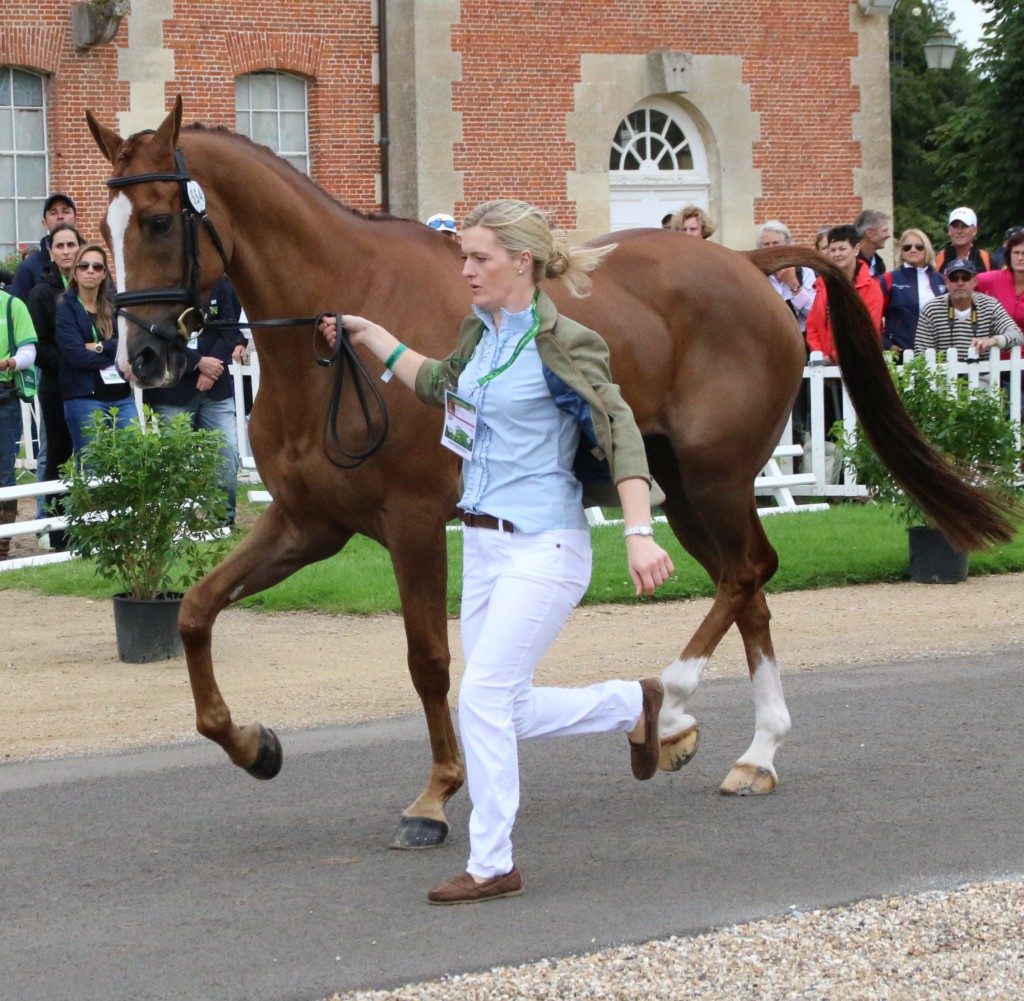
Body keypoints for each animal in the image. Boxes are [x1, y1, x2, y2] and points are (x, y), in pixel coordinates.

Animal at [88, 101, 1015, 847]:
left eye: (161, 220)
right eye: (102, 230)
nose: (142, 358)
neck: (337, 331)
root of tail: (749, 266)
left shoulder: (412, 522)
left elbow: (428, 659)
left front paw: (436, 795)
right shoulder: (306, 524)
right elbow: (196, 612)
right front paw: (253, 744)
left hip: (715, 479)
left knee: (746, 575)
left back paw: (675, 705)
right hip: (683, 493)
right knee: (749, 587)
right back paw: (752, 749)